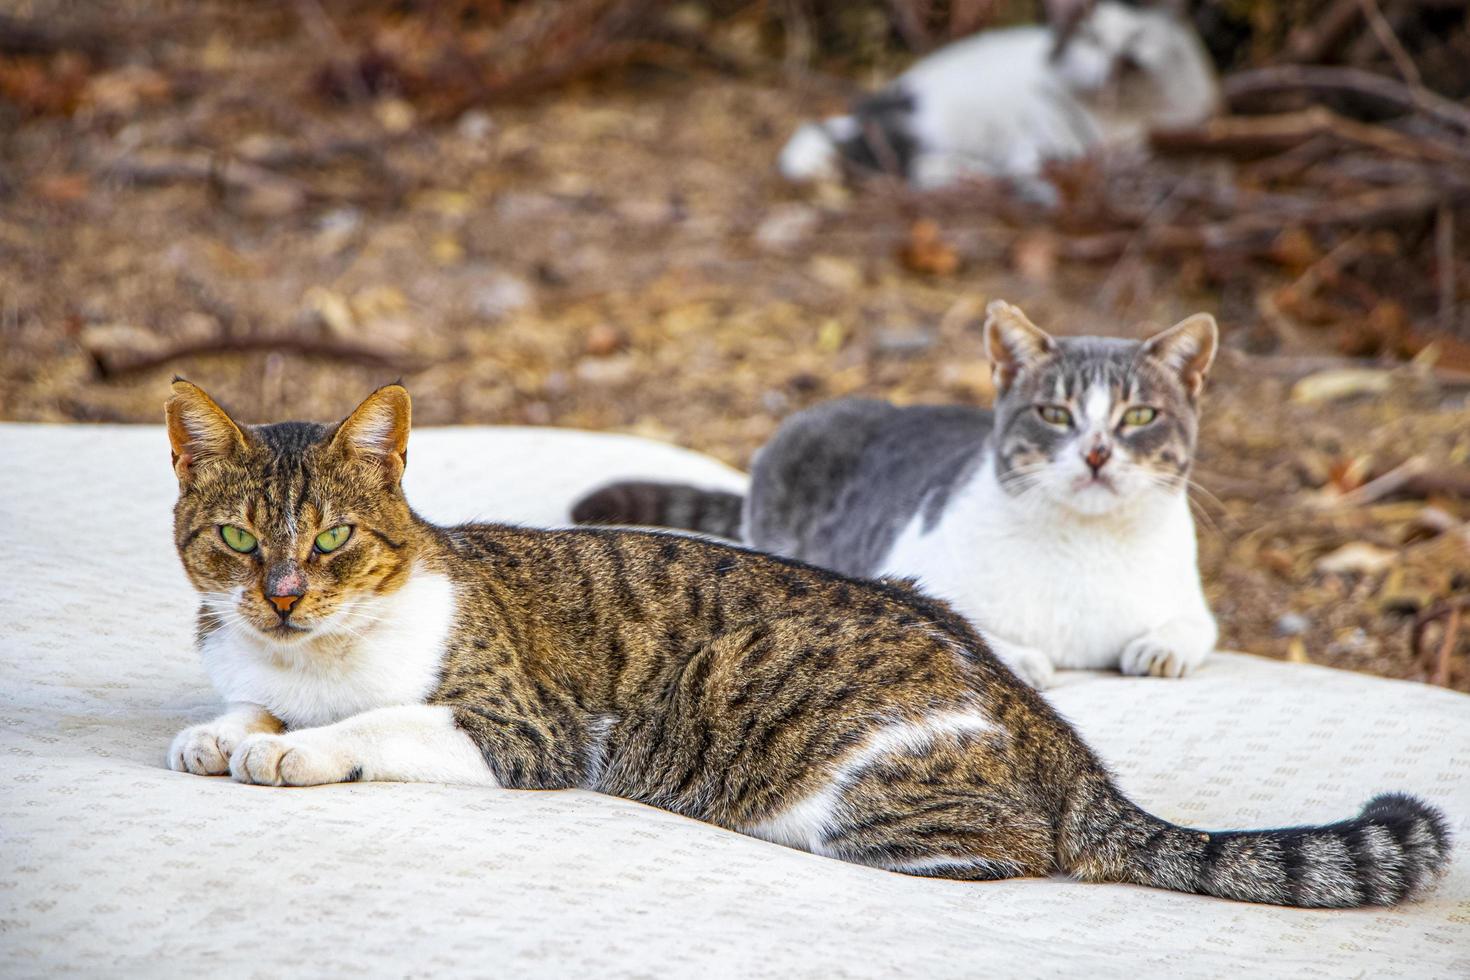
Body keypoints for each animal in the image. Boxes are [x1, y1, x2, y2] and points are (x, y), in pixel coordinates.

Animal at [163, 379, 1446, 910]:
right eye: (238, 538)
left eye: (332, 538)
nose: (283, 595)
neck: (308, 653)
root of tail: (1060, 739)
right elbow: (245, 703)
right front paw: (226, 729)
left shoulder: (522, 729)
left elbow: (378, 720)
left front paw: (292, 745)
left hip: (850, 792)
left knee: (1022, 848)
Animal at [573, 301, 1217, 690]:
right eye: (1055, 414)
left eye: (1140, 415)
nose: (1096, 453)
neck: (1086, 546)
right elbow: (981, 632)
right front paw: (1026, 657)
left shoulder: (1193, 606)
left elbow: (1192, 630)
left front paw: (1160, 648)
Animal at [782, 1, 1217, 188]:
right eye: (1090, 40)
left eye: (1138, 38)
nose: (1121, 63)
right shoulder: (1044, 134)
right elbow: (1041, 159)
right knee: (913, 164)